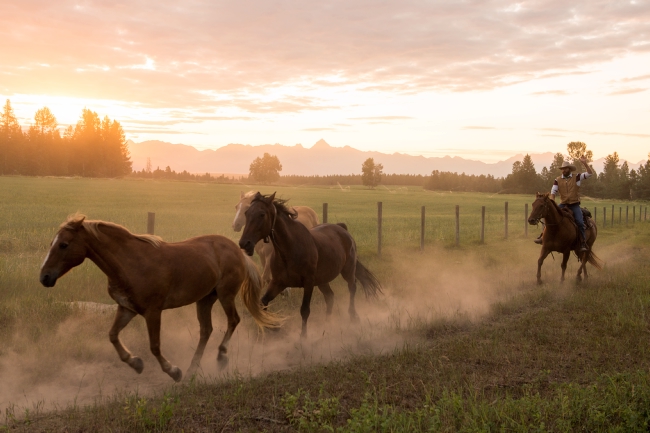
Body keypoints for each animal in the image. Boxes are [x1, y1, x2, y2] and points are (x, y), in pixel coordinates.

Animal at [39, 214, 280, 380]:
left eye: (63, 244)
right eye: (52, 243)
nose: (44, 277)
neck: (129, 263)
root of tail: (236, 249)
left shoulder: (152, 312)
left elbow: (154, 345)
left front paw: (173, 371)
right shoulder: (127, 308)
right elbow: (112, 335)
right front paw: (136, 363)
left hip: (225, 294)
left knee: (233, 321)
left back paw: (220, 357)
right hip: (204, 299)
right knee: (206, 330)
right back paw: (193, 369)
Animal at [237, 192, 380, 338]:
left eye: (262, 214)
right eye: (247, 212)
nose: (244, 243)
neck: (289, 250)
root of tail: (342, 228)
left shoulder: (309, 283)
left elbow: (305, 310)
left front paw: (303, 337)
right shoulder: (278, 283)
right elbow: (263, 304)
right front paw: (273, 327)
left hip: (348, 270)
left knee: (352, 288)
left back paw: (353, 317)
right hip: (322, 280)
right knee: (330, 296)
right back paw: (328, 323)